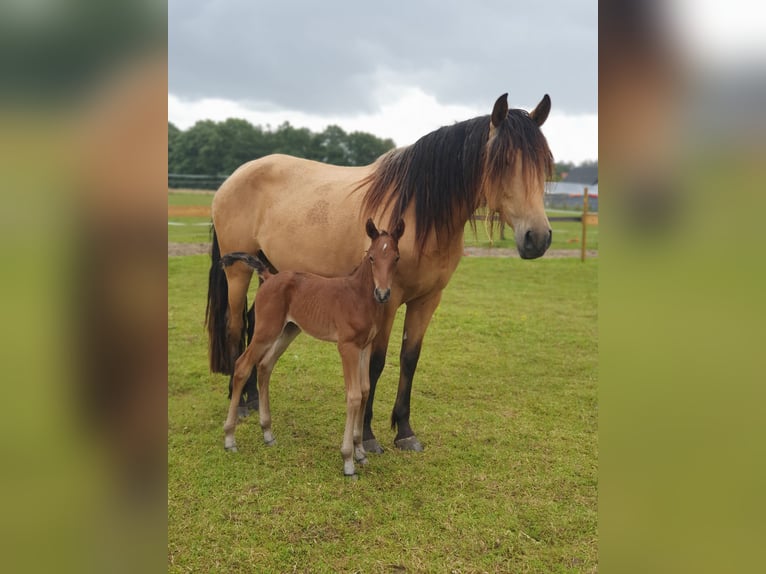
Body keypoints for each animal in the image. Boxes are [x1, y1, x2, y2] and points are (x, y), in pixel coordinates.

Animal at [220, 218, 404, 477]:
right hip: (266, 331)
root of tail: (269, 276)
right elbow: (354, 395)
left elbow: (366, 390)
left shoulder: (365, 347)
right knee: (242, 365)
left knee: (265, 366)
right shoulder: (347, 347)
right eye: (371, 258)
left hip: (288, 330)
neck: (359, 297)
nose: (383, 294)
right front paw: (348, 460)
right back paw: (230, 438)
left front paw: (360, 451)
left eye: (396, 258)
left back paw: (267, 432)